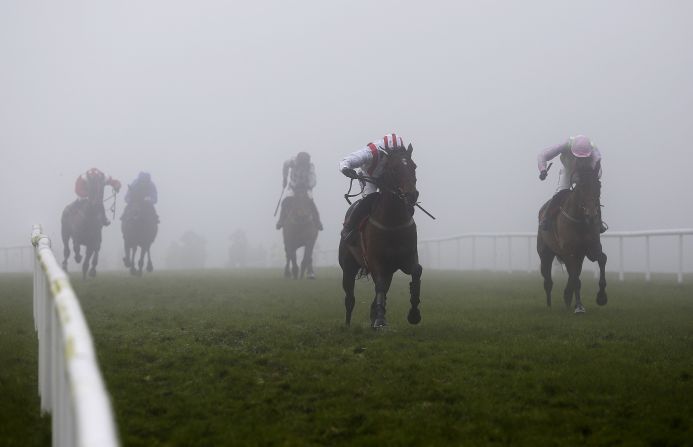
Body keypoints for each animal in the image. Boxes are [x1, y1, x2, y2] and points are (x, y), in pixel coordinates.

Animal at [336, 146, 422, 328]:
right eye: (394, 168)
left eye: (414, 166)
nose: (412, 195)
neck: (393, 224)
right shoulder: (376, 260)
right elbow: (380, 286)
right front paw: (380, 320)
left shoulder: (407, 257)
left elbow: (416, 271)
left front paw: (414, 314)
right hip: (348, 267)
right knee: (350, 298)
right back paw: (348, 324)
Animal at [536, 159, 604, 314]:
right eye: (581, 186)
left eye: (598, 185)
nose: (592, 216)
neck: (580, 221)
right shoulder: (570, 251)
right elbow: (575, 279)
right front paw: (579, 306)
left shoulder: (591, 247)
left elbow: (602, 259)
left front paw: (602, 296)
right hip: (545, 254)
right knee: (548, 281)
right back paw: (549, 305)